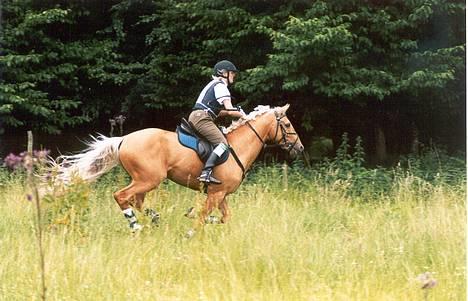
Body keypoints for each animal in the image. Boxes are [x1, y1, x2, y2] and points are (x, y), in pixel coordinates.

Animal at [53, 103, 306, 232]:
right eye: (286, 124)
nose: (300, 148)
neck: (238, 146)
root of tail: (123, 139)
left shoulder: (221, 195)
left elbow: (224, 218)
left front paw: (192, 215)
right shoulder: (215, 194)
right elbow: (203, 216)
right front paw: (192, 227)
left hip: (144, 181)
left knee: (136, 201)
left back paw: (153, 217)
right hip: (149, 179)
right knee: (122, 196)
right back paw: (136, 226)